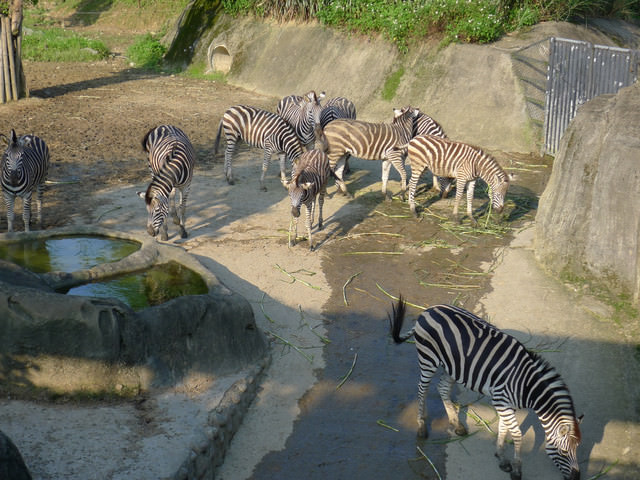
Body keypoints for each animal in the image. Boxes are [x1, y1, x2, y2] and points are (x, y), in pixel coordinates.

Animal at [388, 298, 584, 478]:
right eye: (564, 452)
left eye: (578, 448)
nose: (576, 477)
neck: (526, 386)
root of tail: (429, 310)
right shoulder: (501, 400)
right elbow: (517, 434)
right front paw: (516, 469)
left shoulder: (507, 405)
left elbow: (504, 429)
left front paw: (501, 457)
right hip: (428, 358)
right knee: (422, 388)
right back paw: (421, 427)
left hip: (452, 366)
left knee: (442, 388)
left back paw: (457, 424)